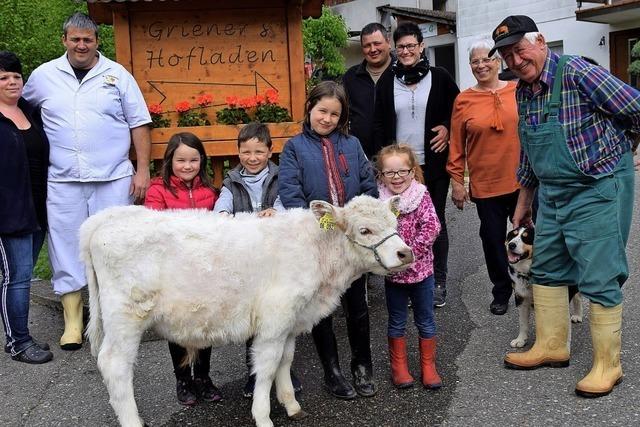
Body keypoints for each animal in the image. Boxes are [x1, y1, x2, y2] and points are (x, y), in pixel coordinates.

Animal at [80, 196, 412, 426]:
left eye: (395, 224)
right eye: (364, 230)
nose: (405, 253)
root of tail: (106, 217)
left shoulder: (290, 321)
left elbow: (285, 360)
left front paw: (291, 404)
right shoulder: (274, 320)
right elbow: (266, 366)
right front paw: (263, 416)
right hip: (125, 317)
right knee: (114, 365)